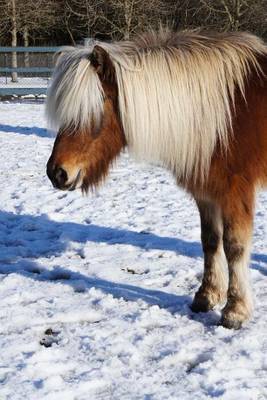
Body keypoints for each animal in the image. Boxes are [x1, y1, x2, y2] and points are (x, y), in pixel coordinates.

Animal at [45, 30, 267, 328]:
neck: (226, 114)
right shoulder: (207, 192)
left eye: (92, 109)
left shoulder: (235, 191)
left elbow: (234, 247)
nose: (57, 173)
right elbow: (210, 241)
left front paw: (235, 310)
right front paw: (206, 296)